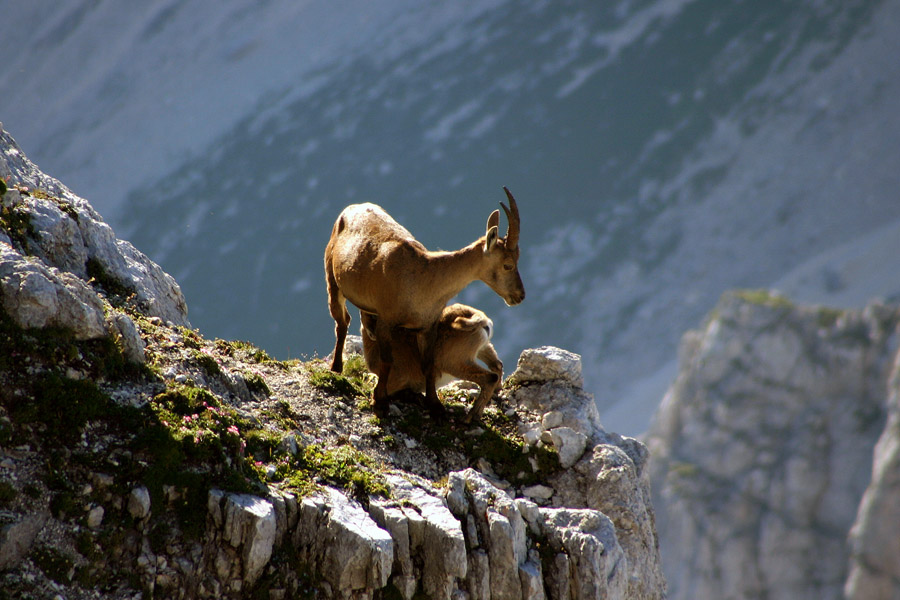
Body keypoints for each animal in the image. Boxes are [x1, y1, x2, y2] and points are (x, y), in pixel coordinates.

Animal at [360, 303, 503, 422]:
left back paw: (470, 417)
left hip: (454, 362)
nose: (372, 333)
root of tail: (478, 319)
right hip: (482, 348)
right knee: (497, 365)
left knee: (490, 377)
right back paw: (497, 391)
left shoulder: (396, 379)